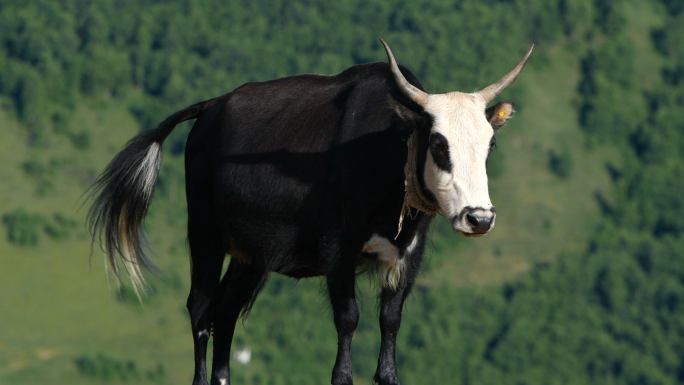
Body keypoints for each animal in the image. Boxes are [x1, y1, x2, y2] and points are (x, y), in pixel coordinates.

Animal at [87, 39, 536, 384]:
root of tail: (212, 106)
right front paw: (343, 375)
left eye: (490, 144)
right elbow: (349, 318)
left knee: (225, 312)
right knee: (200, 309)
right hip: (205, 234)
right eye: (439, 144)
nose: (479, 218)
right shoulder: (338, 249)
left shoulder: (409, 253)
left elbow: (390, 319)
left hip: (250, 255)